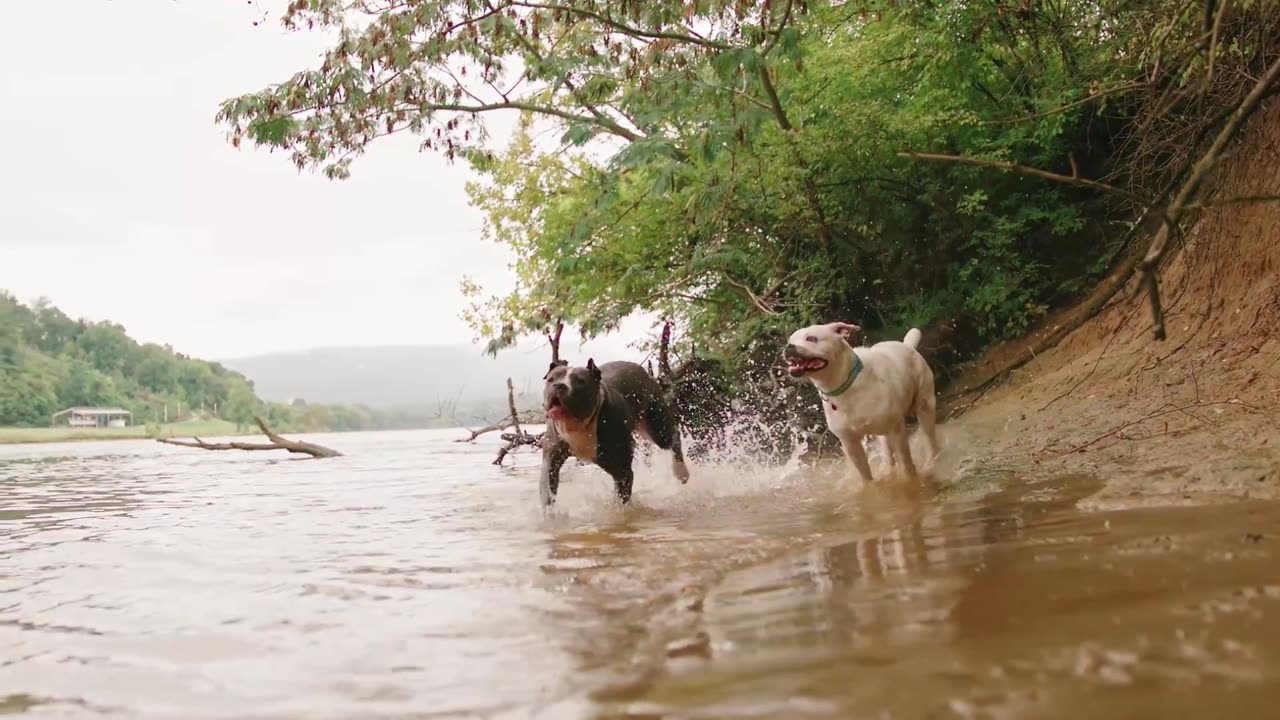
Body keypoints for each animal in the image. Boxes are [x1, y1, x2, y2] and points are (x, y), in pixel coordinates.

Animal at [540, 356, 691, 504]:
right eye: (551, 379)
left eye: (580, 381)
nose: (558, 385)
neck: (579, 426)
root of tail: (643, 371)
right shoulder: (552, 456)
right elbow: (547, 488)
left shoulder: (621, 468)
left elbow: (621, 500)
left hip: (657, 427)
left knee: (673, 436)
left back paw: (681, 472)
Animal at [778, 322, 942, 484]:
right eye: (790, 340)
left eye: (811, 338)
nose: (788, 346)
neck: (844, 386)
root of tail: (907, 345)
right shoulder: (850, 443)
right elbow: (865, 476)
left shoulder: (897, 430)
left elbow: (907, 464)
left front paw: (912, 481)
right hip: (883, 432)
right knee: (887, 451)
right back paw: (888, 471)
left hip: (924, 406)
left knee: (930, 439)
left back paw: (931, 464)